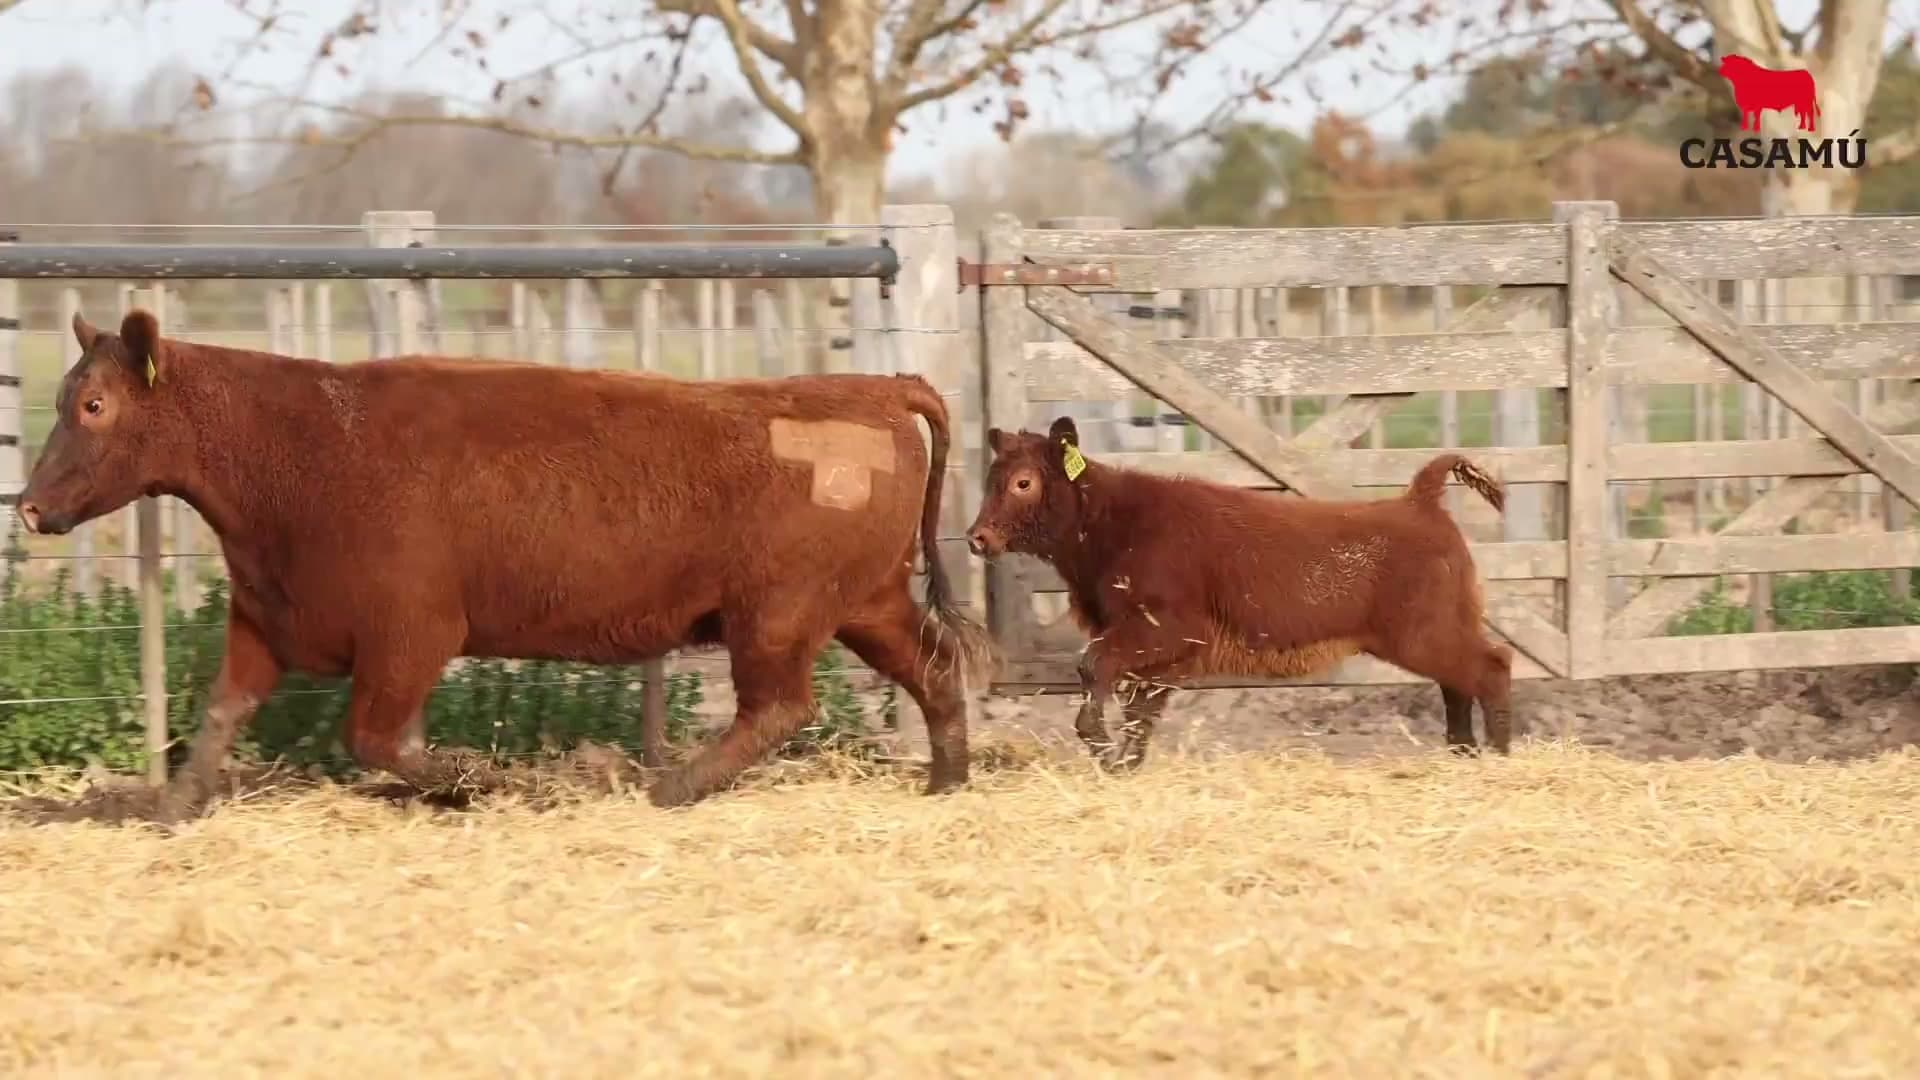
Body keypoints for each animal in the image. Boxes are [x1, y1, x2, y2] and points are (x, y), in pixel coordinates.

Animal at [14, 310, 993, 819]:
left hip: (777, 614)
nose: (26, 504)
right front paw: (173, 805)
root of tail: (872, 389)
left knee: (782, 706)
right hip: (866, 601)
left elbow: (378, 738)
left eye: (95, 405)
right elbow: (219, 714)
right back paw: (946, 777)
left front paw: (485, 779)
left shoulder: (413, 631)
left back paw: (671, 783)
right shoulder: (263, 620)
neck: (302, 450)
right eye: (64, 397)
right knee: (935, 666)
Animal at [964, 417, 1513, 770]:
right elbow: (1142, 710)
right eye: (991, 478)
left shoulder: (1164, 631)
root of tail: (1420, 500)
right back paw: (1463, 753)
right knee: (1458, 683)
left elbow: (1094, 667)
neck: (1116, 522)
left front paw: (1097, 744)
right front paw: (1121, 762)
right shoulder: (1160, 655)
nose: (977, 538)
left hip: (1424, 635)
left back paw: (1499, 756)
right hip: (1440, 631)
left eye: (1023, 482)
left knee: (1491, 667)